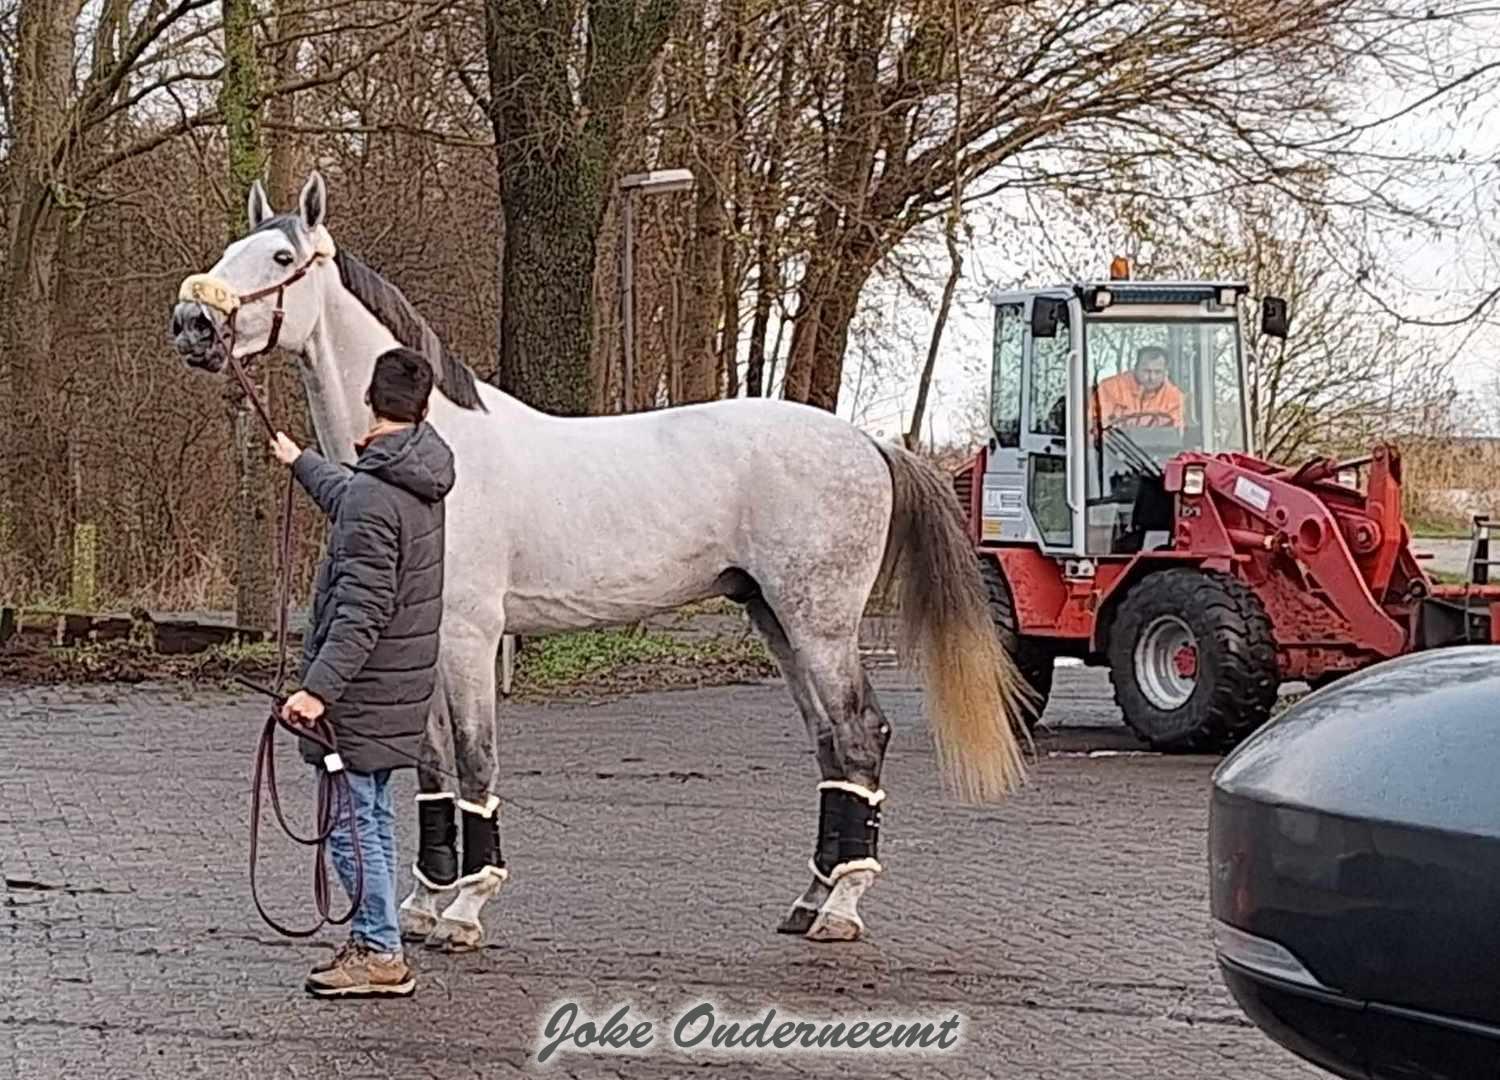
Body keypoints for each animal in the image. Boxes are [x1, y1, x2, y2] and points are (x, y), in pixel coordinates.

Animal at [167, 171, 1032, 954]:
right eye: (231, 248)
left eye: (280, 256)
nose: (192, 323)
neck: (434, 451)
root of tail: (870, 442)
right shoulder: (421, 638)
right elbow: (434, 767)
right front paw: (422, 904)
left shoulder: (469, 639)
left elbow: (474, 762)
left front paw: (466, 910)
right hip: (775, 620)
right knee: (829, 742)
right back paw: (811, 896)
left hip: (819, 624)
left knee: (859, 735)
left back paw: (842, 908)